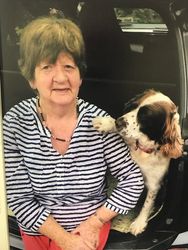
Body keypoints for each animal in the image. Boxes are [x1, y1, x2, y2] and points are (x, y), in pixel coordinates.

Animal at [92, 89, 184, 236]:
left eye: (145, 117)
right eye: (133, 107)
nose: (118, 122)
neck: (144, 151)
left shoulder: (154, 184)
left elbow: (147, 203)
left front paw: (139, 223)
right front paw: (106, 123)